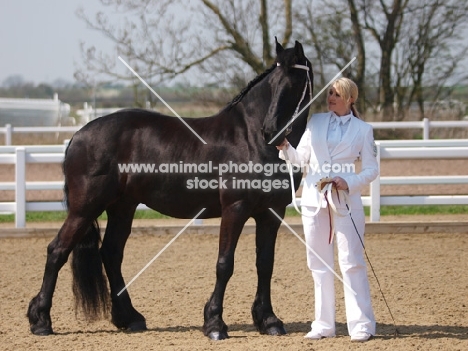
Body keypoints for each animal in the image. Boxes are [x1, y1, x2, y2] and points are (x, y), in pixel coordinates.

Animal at [24, 39, 310, 340]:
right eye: (274, 83)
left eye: (293, 83)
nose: (270, 131)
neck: (250, 138)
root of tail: (78, 135)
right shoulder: (235, 209)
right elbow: (225, 264)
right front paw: (214, 324)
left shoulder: (272, 213)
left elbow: (265, 264)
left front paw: (269, 320)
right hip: (85, 208)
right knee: (57, 251)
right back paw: (41, 321)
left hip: (122, 207)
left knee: (111, 254)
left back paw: (130, 318)